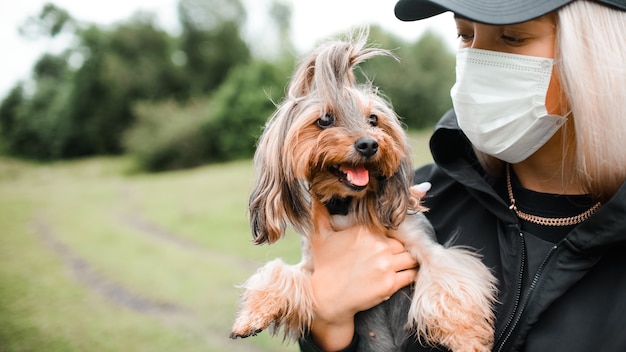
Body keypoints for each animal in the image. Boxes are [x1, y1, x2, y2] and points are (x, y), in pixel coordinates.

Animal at [230, 29, 498, 352]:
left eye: (373, 120)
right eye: (324, 120)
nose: (369, 144)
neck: (348, 205)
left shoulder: (423, 243)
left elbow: (451, 284)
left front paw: (469, 340)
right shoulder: (314, 267)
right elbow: (280, 273)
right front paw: (251, 315)